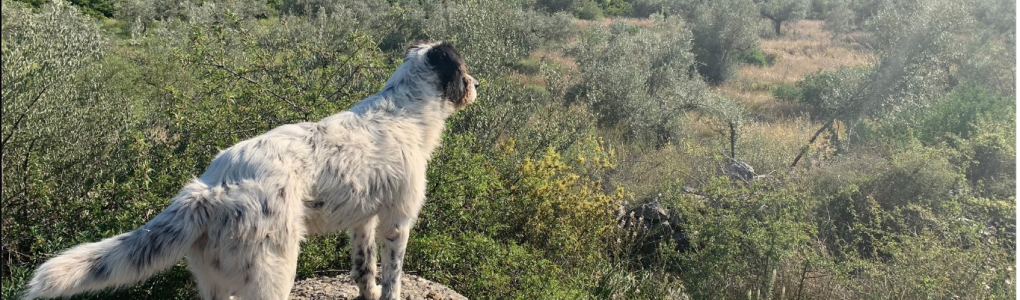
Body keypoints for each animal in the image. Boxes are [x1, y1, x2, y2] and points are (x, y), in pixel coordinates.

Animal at [25, 40, 479, 300]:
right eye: (464, 69)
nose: (478, 85)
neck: (405, 110)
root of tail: (208, 190)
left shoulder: (362, 222)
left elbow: (365, 273)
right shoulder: (396, 223)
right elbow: (392, 279)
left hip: (214, 282)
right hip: (272, 273)